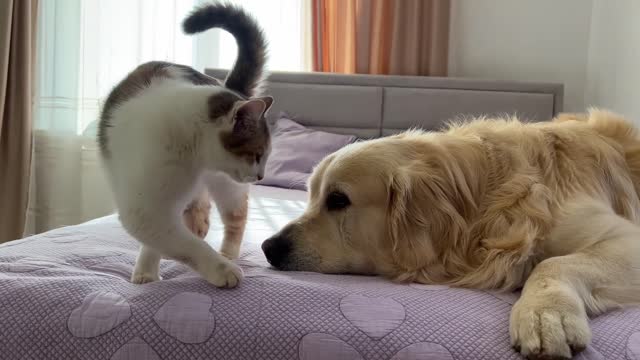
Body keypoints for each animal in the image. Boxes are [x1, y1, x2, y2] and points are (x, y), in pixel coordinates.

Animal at [97, 2, 272, 288]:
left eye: (266, 155)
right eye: (257, 154)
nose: (260, 176)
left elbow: (179, 240)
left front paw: (222, 265)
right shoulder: (145, 205)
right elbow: (176, 240)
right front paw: (148, 271)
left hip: (227, 185)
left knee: (235, 217)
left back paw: (227, 253)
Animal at [262, 109, 640, 360]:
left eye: (338, 200)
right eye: (310, 196)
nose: (268, 247)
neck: (486, 199)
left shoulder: (624, 239)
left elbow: (552, 264)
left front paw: (545, 314)